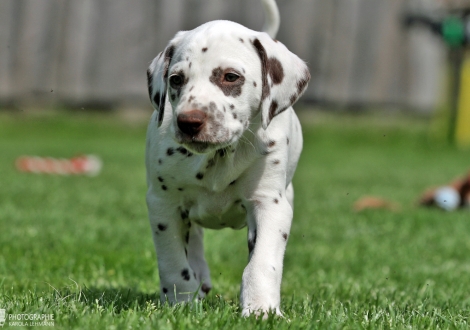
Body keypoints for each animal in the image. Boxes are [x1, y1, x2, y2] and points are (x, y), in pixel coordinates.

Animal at [145, 0, 310, 318]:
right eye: (176, 80)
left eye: (230, 77)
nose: (188, 122)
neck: (219, 157)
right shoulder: (163, 205)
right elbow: (173, 263)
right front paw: (181, 303)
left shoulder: (270, 205)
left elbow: (261, 264)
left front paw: (261, 309)